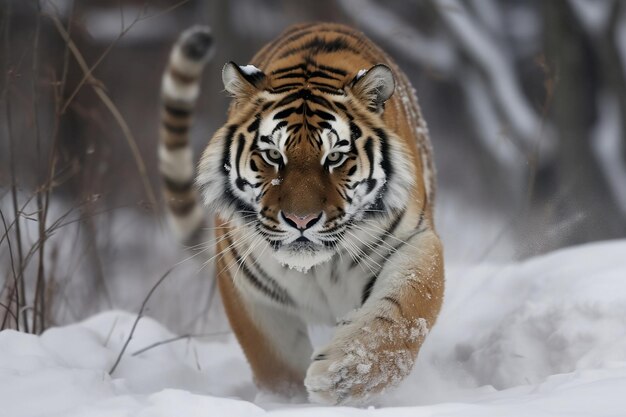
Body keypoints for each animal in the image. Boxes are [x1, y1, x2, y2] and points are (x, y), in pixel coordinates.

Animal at [161, 22, 444, 404]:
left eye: (335, 157)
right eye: (272, 155)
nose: (301, 221)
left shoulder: (413, 241)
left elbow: (403, 313)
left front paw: (342, 375)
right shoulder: (245, 286)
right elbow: (276, 363)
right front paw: (289, 403)